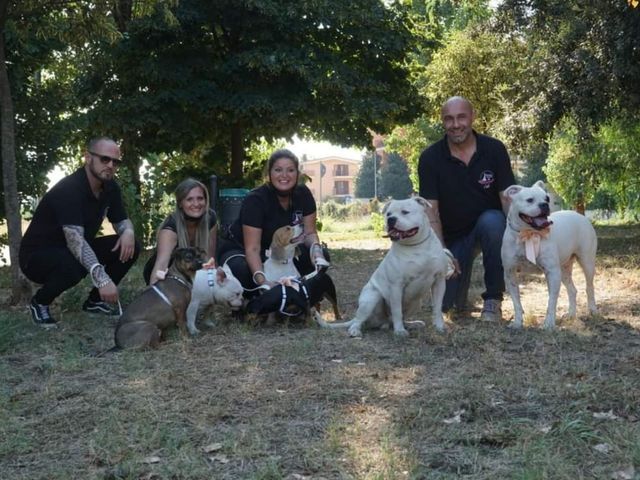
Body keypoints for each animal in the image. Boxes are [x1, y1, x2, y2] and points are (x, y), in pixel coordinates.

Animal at [324, 195, 456, 338]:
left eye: (405, 212)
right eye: (388, 214)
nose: (391, 219)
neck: (416, 247)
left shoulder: (439, 281)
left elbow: (437, 307)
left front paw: (439, 327)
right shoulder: (396, 286)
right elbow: (397, 310)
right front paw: (399, 331)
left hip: (416, 302)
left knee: (396, 318)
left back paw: (412, 324)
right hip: (371, 298)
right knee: (360, 320)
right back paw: (355, 330)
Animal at [502, 180, 596, 330]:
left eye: (547, 199)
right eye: (530, 200)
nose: (544, 205)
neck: (528, 233)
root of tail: (580, 216)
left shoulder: (552, 272)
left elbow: (552, 301)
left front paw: (549, 324)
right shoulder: (510, 273)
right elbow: (516, 302)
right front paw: (517, 322)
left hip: (587, 263)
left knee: (589, 287)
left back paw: (592, 309)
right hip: (563, 270)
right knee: (572, 290)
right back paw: (571, 314)